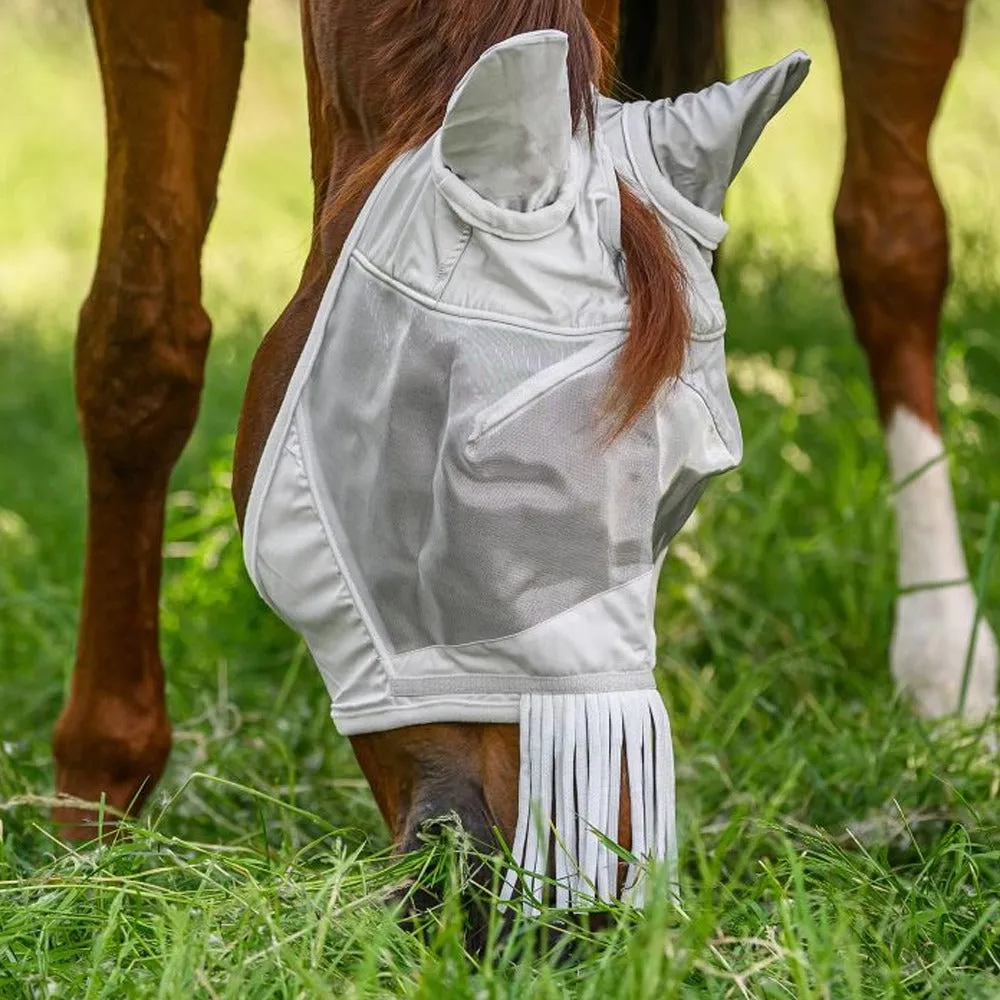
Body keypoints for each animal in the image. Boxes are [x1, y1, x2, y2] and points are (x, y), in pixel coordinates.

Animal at [53, 0, 996, 866]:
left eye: (686, 486)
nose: (581, 892)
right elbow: (139, 340)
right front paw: (93, 803)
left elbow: (893, 241)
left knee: (890, 240)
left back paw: (944, 656)